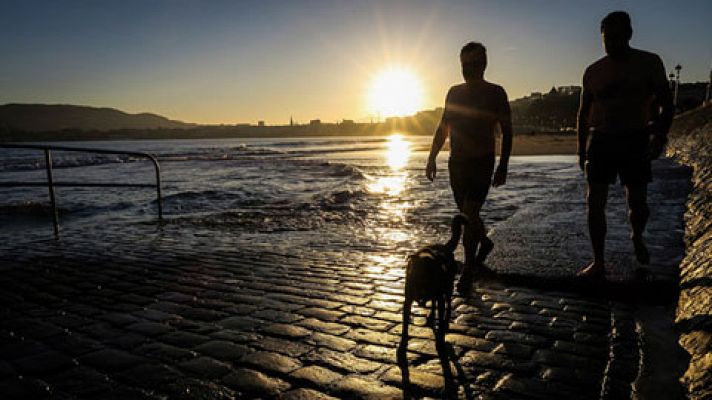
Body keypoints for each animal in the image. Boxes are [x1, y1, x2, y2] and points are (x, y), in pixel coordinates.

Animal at [398, 214, 470, 364]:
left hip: (447, 289)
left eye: (434, 270)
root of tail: (444, 246)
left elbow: (441, 320)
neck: (423, 283)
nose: (442, 270)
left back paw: (444, 319)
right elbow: (405, 324)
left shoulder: (439, 295)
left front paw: (440, 341)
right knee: (434, 303)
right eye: (419, 270)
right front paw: (402, 344)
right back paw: (431, 315)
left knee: (447, 304)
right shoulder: (407, 301)